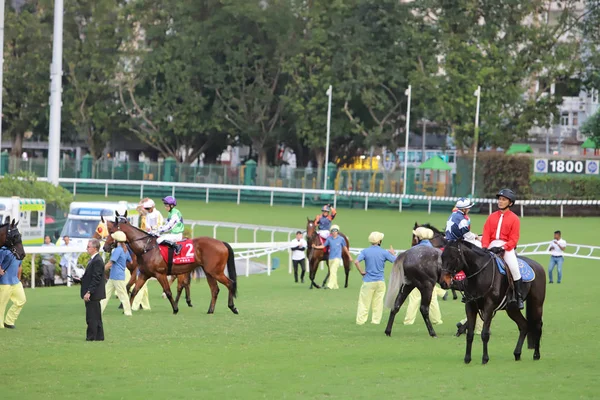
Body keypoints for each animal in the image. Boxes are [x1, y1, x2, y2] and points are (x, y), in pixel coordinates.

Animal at [105, 212, 237, 316]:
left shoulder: (160, 274)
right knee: (214, 290)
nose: (105, 247)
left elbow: (168, 291)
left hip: (216, 272)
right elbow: (135, 290)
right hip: (209, 272)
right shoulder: (144, 274)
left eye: (111, 231)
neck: (146, 247)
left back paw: (233, 307)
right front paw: (126, 310)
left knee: (230, 283)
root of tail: (221, 242)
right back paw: (210, 310)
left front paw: (175, 309)